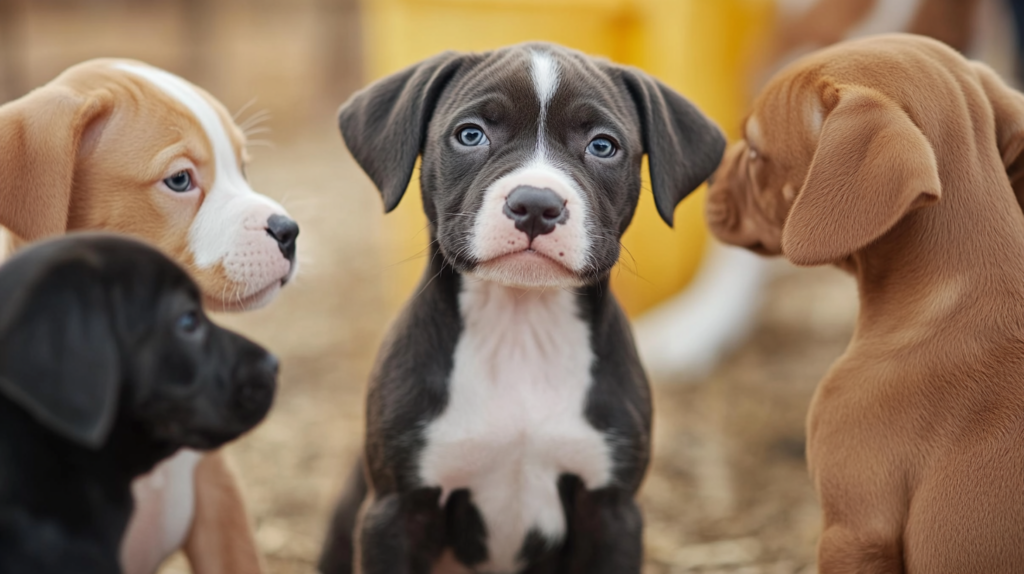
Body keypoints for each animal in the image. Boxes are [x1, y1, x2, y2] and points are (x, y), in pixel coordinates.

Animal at [321, 43, 729, 572]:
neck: (520, 325)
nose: (535, 203)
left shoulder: (612, 510)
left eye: (603, 146)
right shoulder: (395, 511)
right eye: (470, 134)